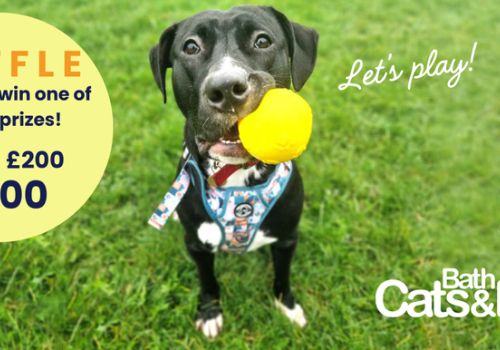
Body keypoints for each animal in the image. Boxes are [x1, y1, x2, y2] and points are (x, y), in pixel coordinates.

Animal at [148, 5, 318, 338]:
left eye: (262, 41)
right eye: (191, 47)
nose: (226, 88)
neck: (235, 177)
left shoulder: (287, 238)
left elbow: (283, 276)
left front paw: (288, 307)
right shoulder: (197, 245)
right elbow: (208, 281)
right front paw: (209, 312)